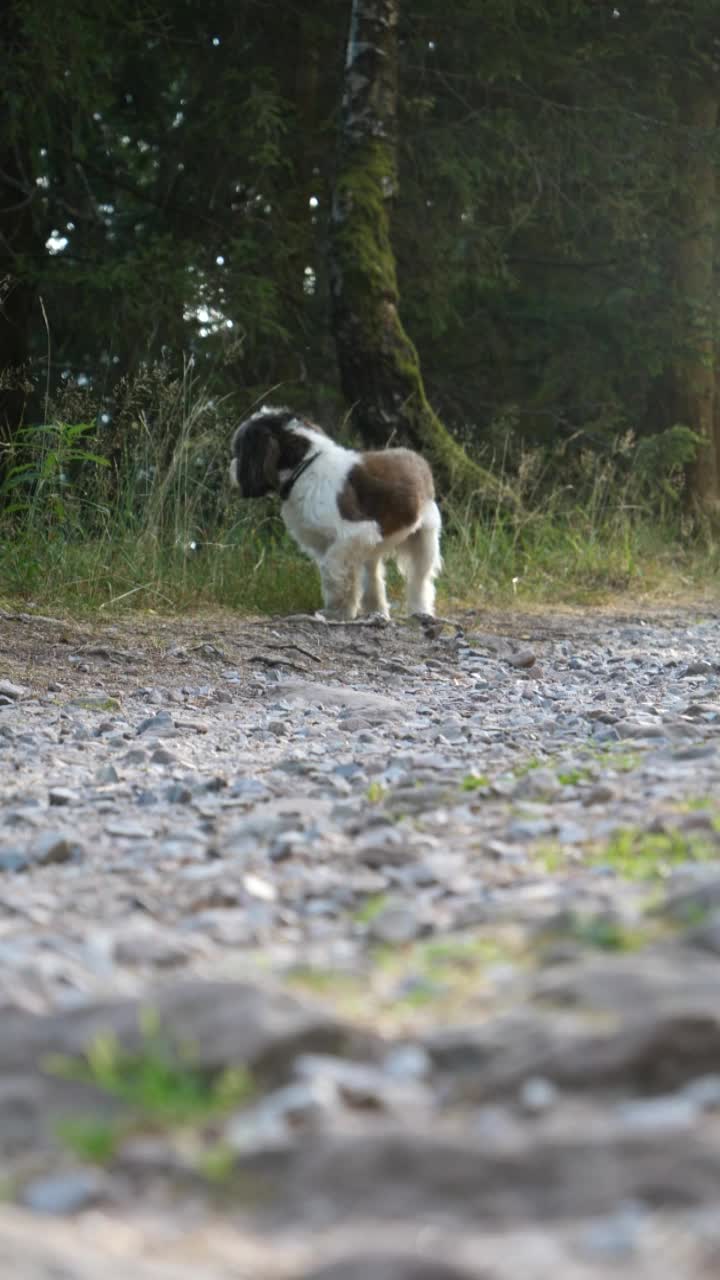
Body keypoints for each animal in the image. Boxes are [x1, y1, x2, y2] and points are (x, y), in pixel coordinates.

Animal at [226, 404, 440, 614]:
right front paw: (342, 610)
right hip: (375, 548)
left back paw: (420, 610)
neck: (305, 468)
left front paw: (337, 611)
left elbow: (331, 571)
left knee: (420, 579)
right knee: (373, 577)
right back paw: (376, 612)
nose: (232, 465)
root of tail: (417, 457)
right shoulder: (338, 543)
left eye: (239, 448)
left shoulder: (355, 534)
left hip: (424, 539)